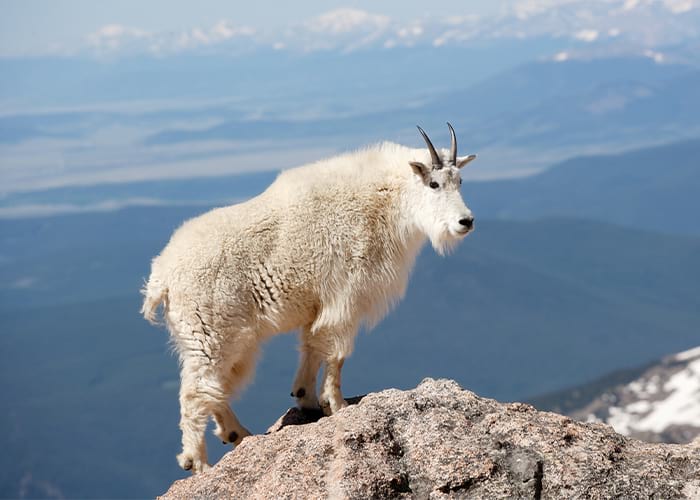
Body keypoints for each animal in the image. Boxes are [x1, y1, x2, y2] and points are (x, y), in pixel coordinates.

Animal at [141, 124, 477, 472]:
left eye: (460, 181)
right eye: (434, 183)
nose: (465, 222)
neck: (385, 200)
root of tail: (161, 277)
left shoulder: (322, 305)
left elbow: (312, 345)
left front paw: (307, 398)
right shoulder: (345, 297)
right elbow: (337, 353)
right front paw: (338, 405)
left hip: (216, 340)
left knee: (213, 388)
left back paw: (236, 434)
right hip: (210, 334)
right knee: (196, 393)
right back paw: (198, 463)